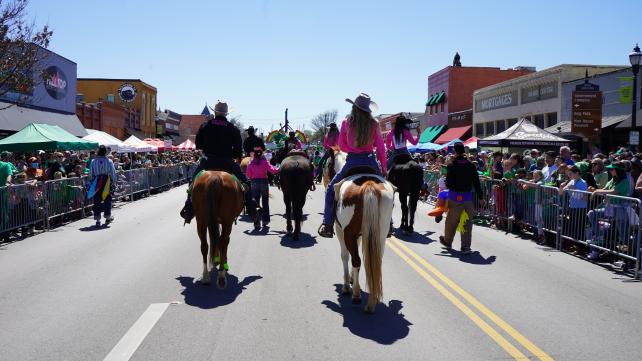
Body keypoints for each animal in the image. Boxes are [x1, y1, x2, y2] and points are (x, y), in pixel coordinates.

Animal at [332, 172, 392, 312]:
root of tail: (369, 184)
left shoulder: (340, 230)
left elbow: (345, 256)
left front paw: (347, 285)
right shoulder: (359, 235)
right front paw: (353, 279)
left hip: (348, 234)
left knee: (356, 260)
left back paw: (355, 294)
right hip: (380, 235)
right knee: (375, 262)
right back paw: (372, 301)